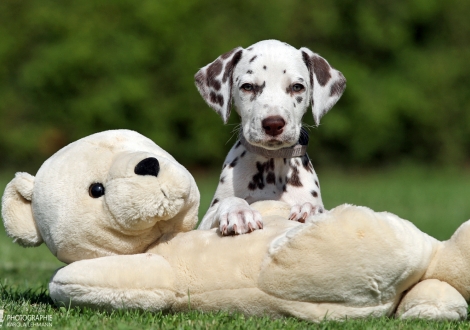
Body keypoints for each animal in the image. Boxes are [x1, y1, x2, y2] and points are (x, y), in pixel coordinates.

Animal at [195, 40, 346, 235]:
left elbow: (319, 208)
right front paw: (239, 211)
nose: (273, 124)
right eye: (247, 86)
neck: (273, 163)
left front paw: (310, 209)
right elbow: (230, 201)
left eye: (297, 87)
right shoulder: (205, 222)